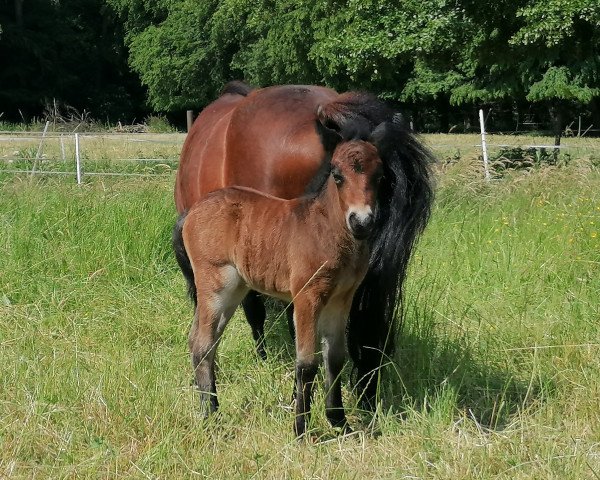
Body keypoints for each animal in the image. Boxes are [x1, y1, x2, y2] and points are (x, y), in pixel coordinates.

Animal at [172, 133, 384, 436]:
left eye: (379, 176)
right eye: (337, 175)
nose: (362, 222)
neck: (327, 229)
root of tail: (191, 211)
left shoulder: (342, 299)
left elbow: (335, 358)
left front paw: (339, 423)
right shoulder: (307, 296)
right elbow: (307, 364)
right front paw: (300, 429)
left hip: (234, 290)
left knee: (202, 341)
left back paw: (210, 407)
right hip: (215, 285)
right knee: (202, 343)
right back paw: (212, 415)